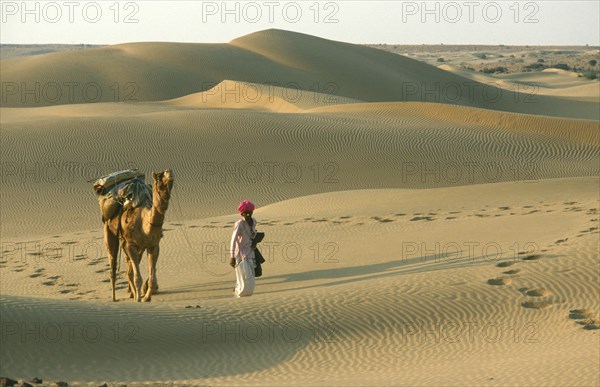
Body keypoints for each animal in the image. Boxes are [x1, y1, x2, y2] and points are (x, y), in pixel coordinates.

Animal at [102, 171, 173, 304]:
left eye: (172, 183)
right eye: (160, 181)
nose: (169, 172)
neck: (145, 224)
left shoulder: (153, 246)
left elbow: (150, 278)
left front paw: (146, 297)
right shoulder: (131, 245)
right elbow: (137, 278)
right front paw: (139, 299)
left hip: (133, 246)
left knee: (128, 271)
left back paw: (132, 294)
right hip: (109, 231)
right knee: (113, 267)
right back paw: (115, 298)